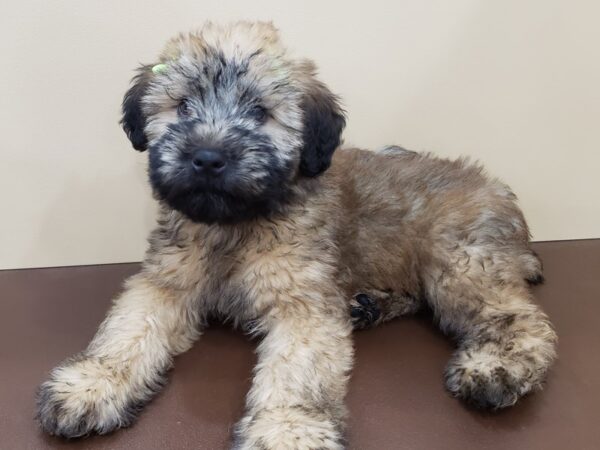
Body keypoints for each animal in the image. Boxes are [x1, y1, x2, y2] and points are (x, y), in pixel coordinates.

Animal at [35, 22, 556, 450]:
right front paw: (93, 384)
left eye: (259, 112)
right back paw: (369, 305)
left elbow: (295, 370)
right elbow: (127, 330)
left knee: (521, 320)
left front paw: (288, 430)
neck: (236, 225)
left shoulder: (301, 304)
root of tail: (494, 186)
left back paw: (496, 367)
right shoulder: (165, 281)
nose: (206, 157)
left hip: (460, 263)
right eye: (182, 106)